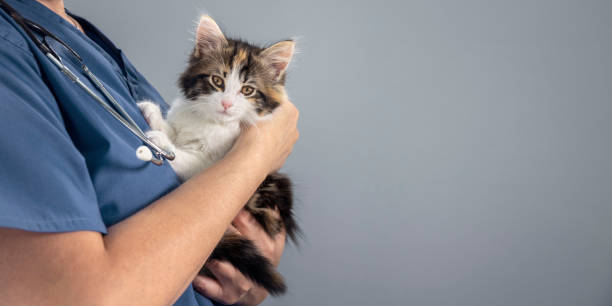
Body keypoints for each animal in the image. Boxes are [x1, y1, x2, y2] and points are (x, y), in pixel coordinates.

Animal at [139, 15, 302, 296]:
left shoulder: (211, 163)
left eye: (247, 91)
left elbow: (185, 158)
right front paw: (154, 114)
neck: (209, 122)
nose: (226, 104)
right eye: (217, 81)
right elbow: (175, 129)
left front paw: (162, 142)